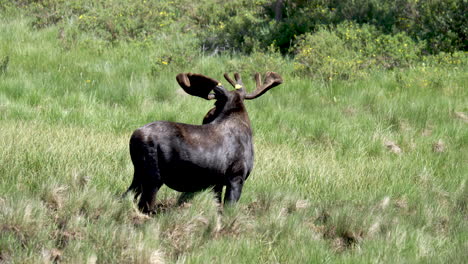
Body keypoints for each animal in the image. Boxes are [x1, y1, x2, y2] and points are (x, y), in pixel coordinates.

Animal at [123, 70, 282, 212]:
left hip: (138, 174)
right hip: (153, 177)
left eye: (215, 104)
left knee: (125, 196)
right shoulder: (236, 177)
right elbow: (229, 209)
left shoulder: (217, 183)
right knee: (144, 205)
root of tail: (135, 136)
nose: (206, 117)